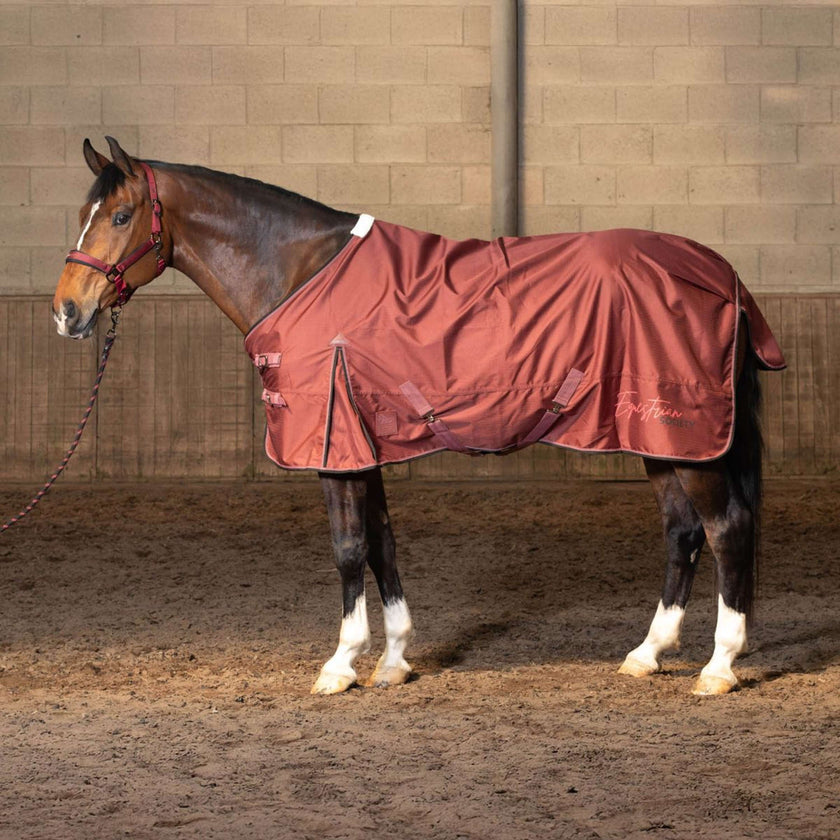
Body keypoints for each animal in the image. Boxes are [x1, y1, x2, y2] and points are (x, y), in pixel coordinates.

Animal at [53, 137, 785, 696]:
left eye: (120, 216)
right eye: (83, 213)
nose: (66, 311)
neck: (298, 271)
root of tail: (720, 274)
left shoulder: (334, 448)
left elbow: (349, 549)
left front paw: (341, 664)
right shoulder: (361, 445)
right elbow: (382, 542)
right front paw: (395, 659)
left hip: (691, 439)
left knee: (725, 528)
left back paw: (719, 666)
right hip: (661, 437)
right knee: (682, 534)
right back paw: (647, 654)